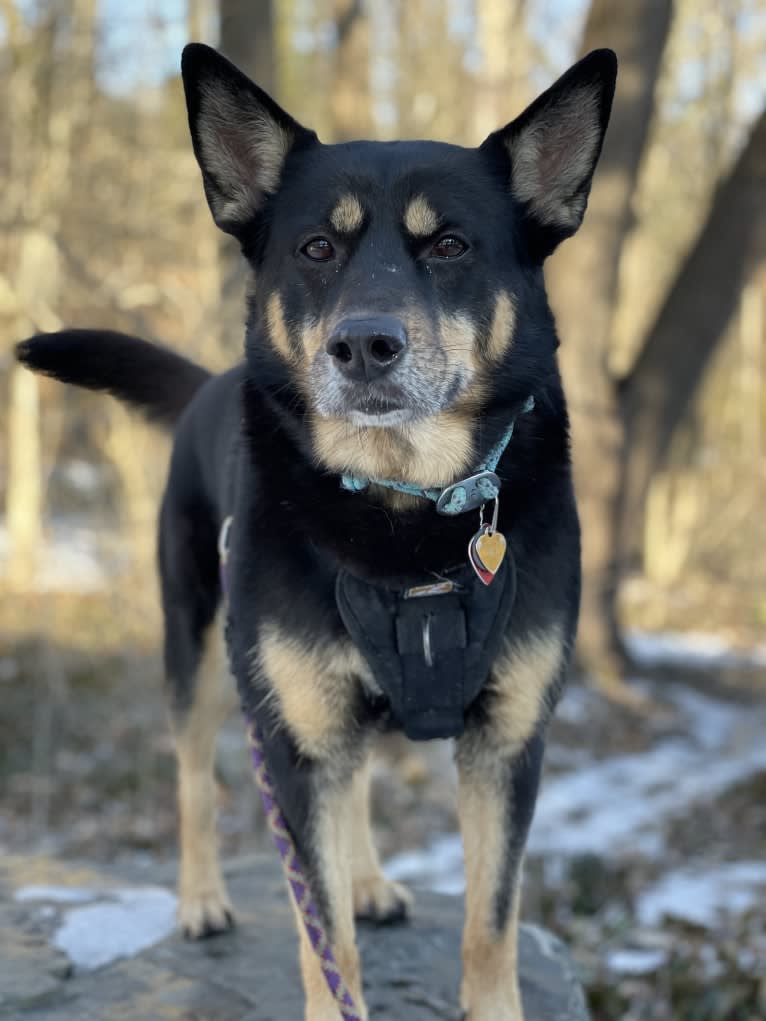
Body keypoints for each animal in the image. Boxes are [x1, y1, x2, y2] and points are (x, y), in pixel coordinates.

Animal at [16, 41, 616, 1021]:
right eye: (317, 248)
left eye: (450, 245)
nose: (364, 344)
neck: (403, 507)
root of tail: (210, 385)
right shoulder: (292, 740)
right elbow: (320, 931)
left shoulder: (509, 741)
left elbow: (490, 922)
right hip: (200, 650)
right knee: (191, 778)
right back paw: (202, 898)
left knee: (357, 781)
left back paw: (368, 879)